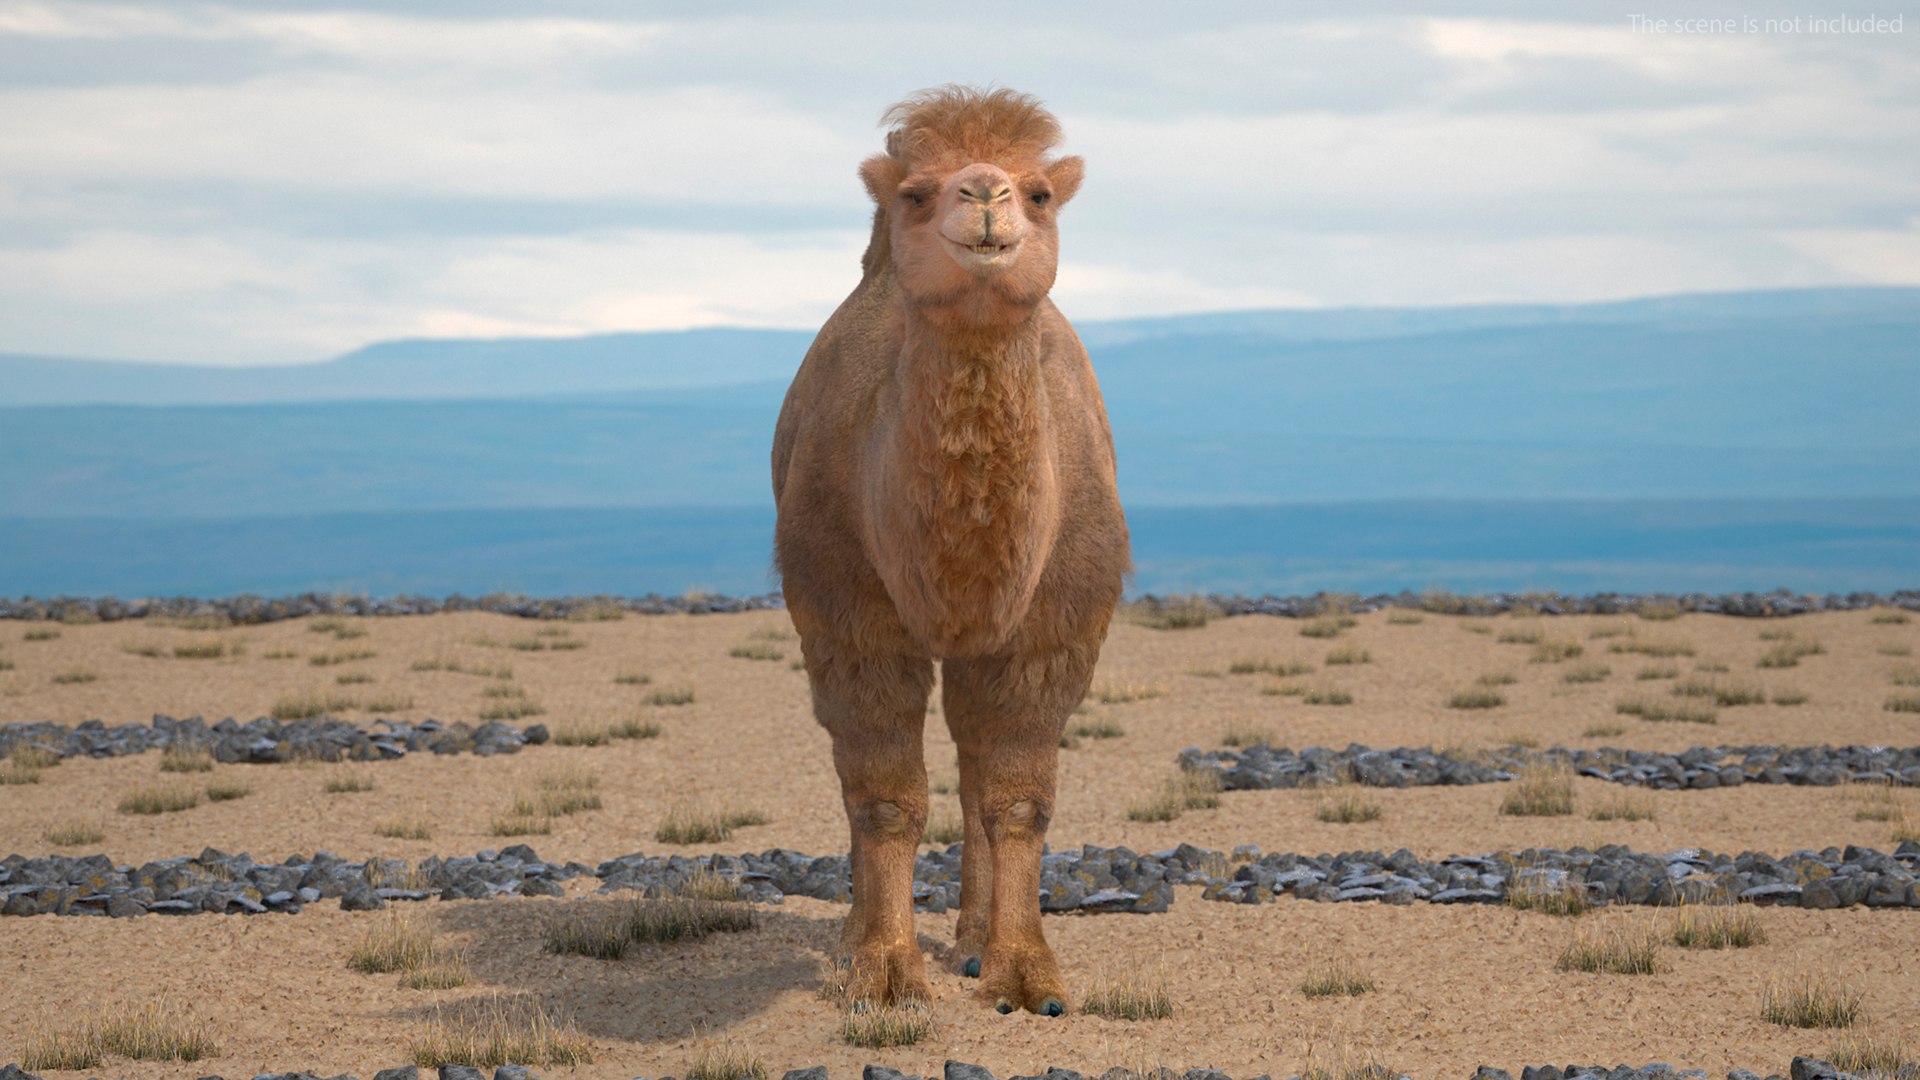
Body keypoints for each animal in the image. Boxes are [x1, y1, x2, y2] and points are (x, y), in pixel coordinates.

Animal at [771, 85, 1129, 1016]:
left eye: (1039, 192)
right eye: (915, 193)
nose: (985, 195)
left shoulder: (1051, 628)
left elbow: (1018, 801)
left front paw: (1026, 973)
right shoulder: (847, 614)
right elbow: (885, 799)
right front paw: (885, 970)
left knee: (973, 765)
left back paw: (971, 939)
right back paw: (860, 936)